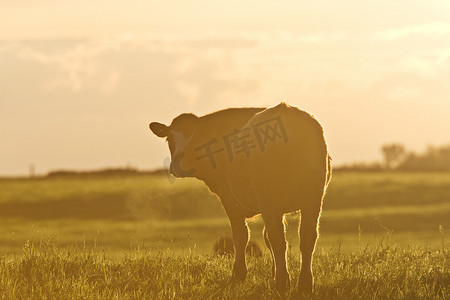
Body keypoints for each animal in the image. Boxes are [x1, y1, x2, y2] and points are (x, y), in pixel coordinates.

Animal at [150, 102, 330, 294]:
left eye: (195, 137)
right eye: (169, 139)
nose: (178, 164)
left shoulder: (230, 199)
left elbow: (241, 236)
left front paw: (239, 274)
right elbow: (267, 237)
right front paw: (273, 271)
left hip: (271, 198)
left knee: (278, 238)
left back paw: (282, 283)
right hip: (313, 198)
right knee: (307, 236)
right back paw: (305, 283)